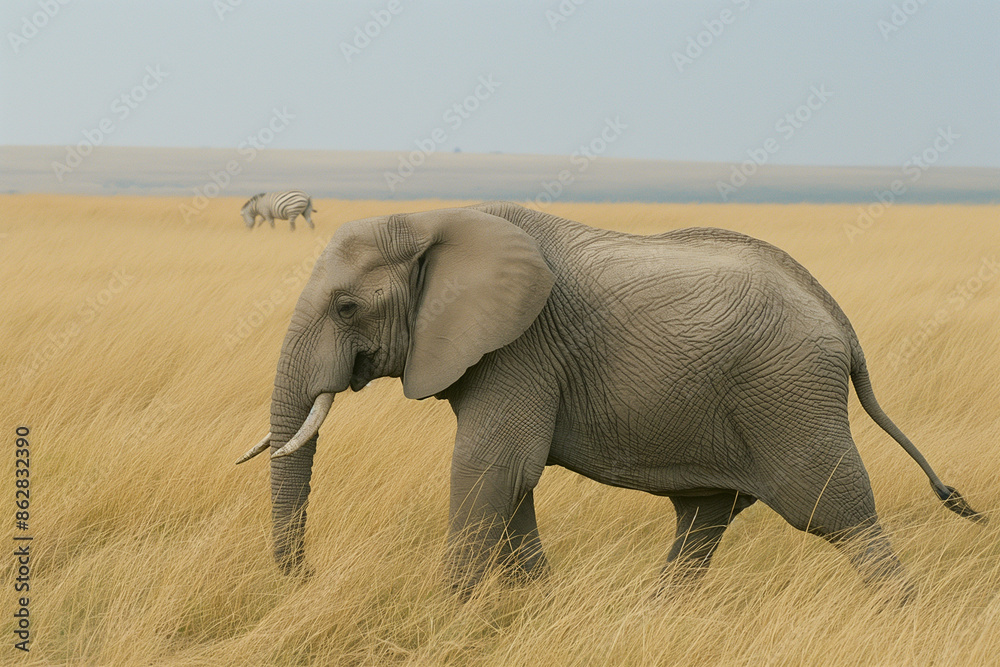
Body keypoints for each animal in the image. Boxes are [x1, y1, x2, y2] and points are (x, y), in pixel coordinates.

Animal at [237, 201, 984, 596]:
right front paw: (536, 605)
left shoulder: (523, 348)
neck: (429, 221)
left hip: (789, 394)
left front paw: (445, 610)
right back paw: (662, 611)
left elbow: (492, 468)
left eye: (346, 306)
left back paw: (900, 612)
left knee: (837, 512)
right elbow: (511, 482)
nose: (305, 577)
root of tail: (841, 322)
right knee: (705, 515)